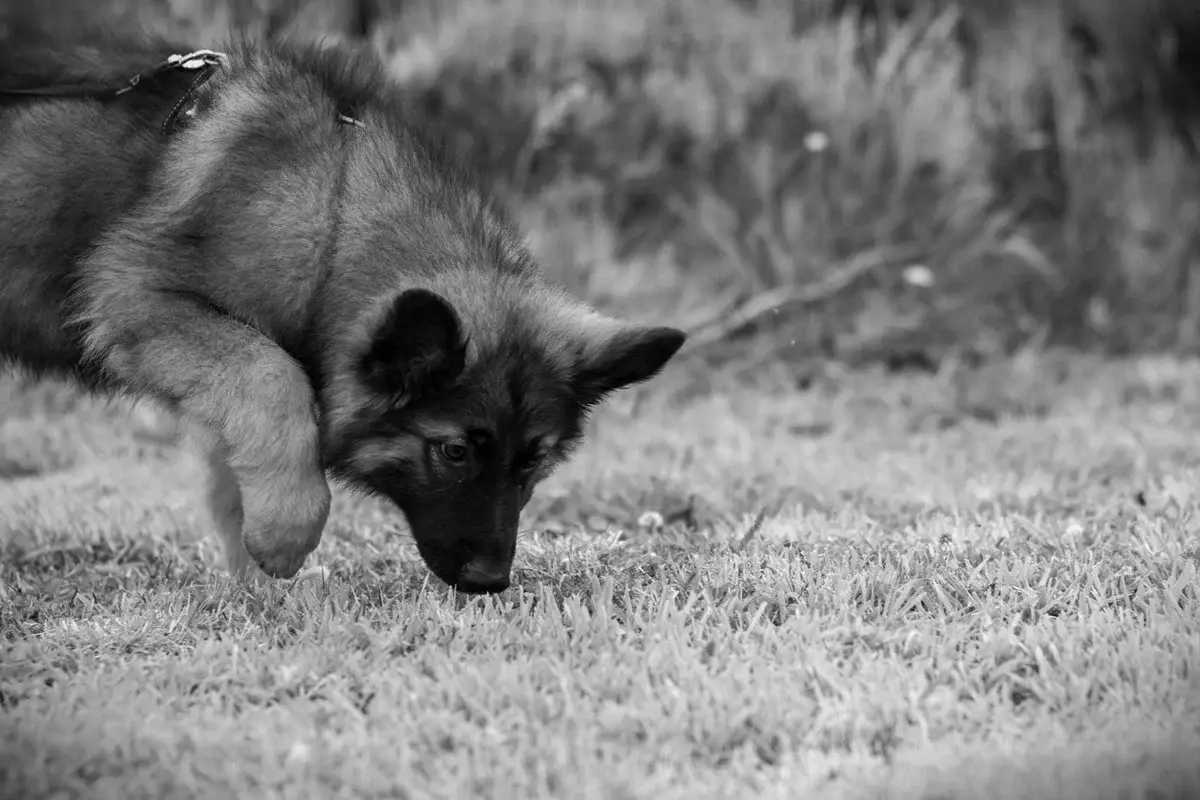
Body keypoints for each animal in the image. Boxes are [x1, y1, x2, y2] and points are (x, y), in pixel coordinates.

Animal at [0, 29, 691, 594]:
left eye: (533, 461)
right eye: (454, 452)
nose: (491, 581)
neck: (332, 216)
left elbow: (237, 464)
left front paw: (257, 585)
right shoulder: (137, 294)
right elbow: (275, 377)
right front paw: (288, 531)